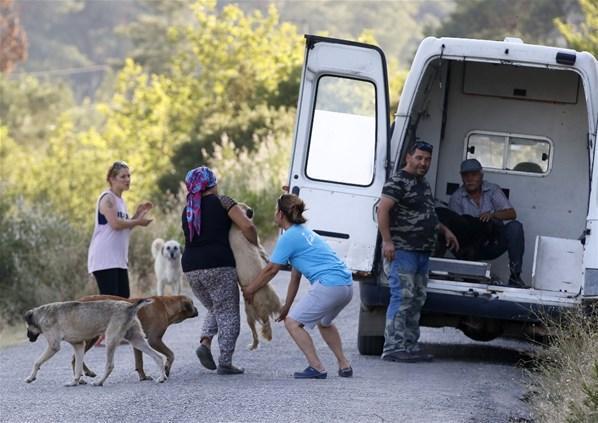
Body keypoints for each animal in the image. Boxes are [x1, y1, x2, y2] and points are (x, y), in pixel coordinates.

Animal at [23, 298, 166, 388]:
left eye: (27, 327)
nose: (28, 338)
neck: (41, 314)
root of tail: (130, 306)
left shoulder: (53, 346)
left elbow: (37, 362)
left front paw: (30, 378)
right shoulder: (79, 345)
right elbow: (78, 367)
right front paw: (74, 382)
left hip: (110, 339)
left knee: (110, 365)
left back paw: (99, 382)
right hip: (136, 340)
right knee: (158, 357)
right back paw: (162, 377)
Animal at [231, 204, 284, 350]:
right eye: (245, 207)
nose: (251, 210)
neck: (234, 226)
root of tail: (263, 309)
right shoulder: (256, 242)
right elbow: (262, 251)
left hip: (250, 315)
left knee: (255, 331)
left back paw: (253, 345)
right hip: (271, 301)